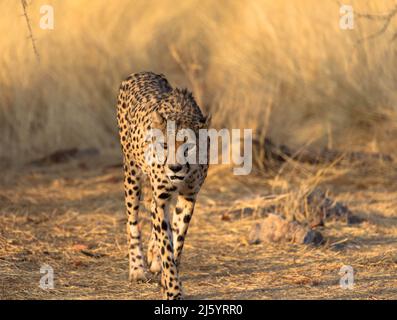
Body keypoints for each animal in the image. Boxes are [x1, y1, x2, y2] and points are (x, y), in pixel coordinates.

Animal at [115, 71, 210, 298]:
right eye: (165, 145)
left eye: (189, 146)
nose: (175, 168)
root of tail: (142, 73)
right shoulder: (161, 197)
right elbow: (166, 245)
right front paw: (172, 289)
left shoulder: (189, 196)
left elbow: (177, 239)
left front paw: (167, 278)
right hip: (132, 176)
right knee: (133, 222)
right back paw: (137, 269)